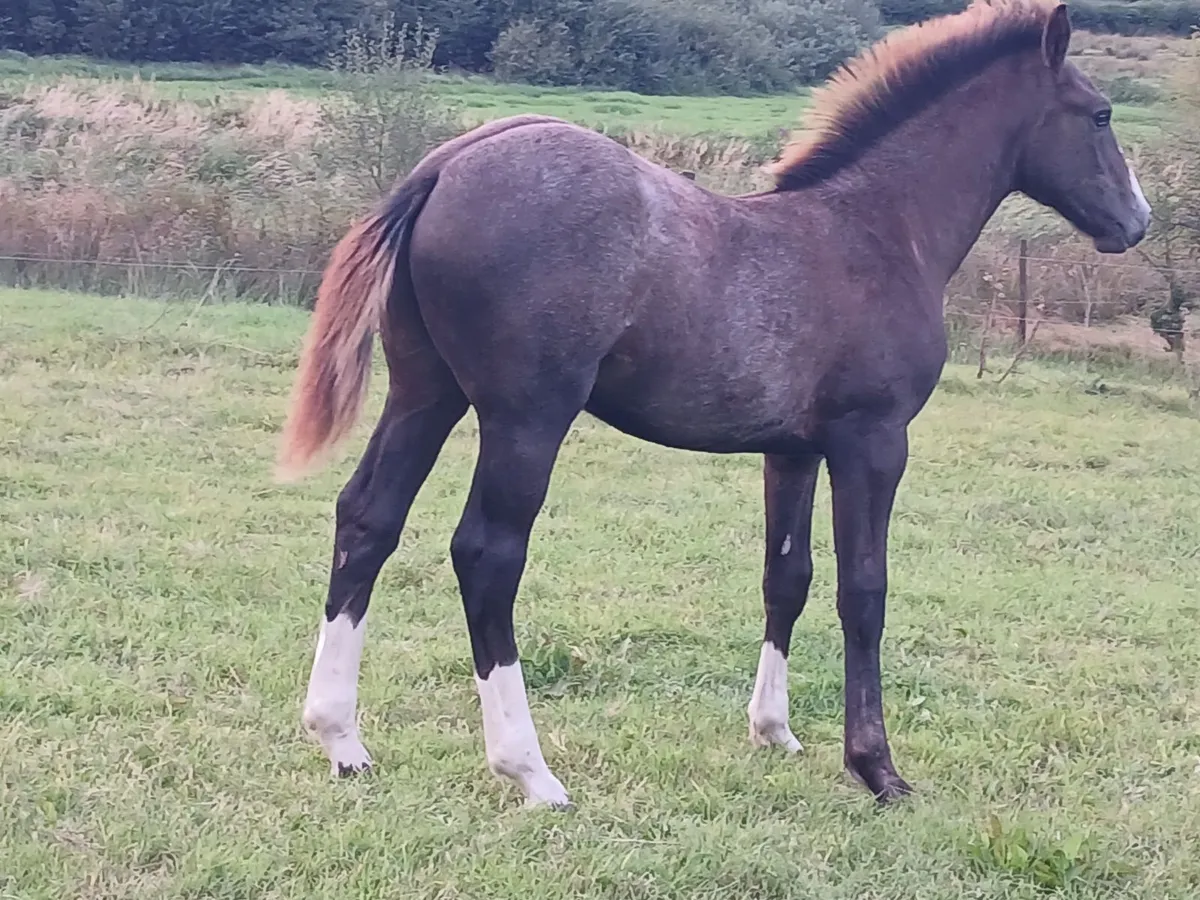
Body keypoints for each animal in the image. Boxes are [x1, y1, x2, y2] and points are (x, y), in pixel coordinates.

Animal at [276, 0, 1150, 807]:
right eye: (1101, 114)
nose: (1137, 222)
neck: (875, 231)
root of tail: (445, 166)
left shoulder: (792, 449)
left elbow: (786, 576)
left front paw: (774, 731)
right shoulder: (873, 440)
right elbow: (863, 591)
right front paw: (877, 768)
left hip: (425, 392)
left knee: (368, 518)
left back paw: (341, 739)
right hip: (526, 415)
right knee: (488, 554)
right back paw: (529, 770)